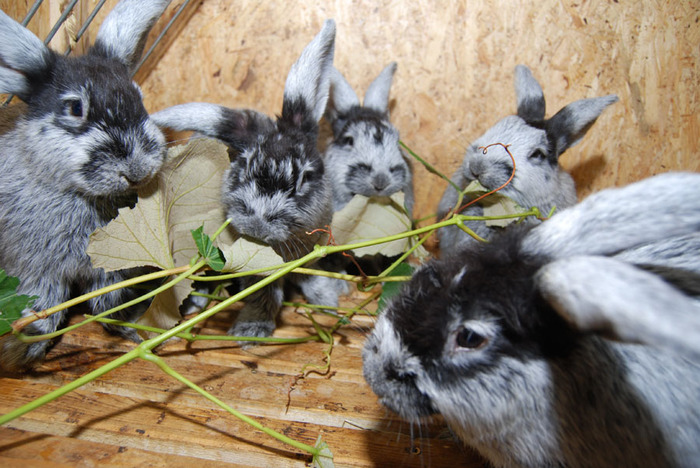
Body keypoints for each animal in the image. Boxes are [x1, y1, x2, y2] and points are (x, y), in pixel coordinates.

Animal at [0, 1, 171, 372]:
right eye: (75, 107)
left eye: (139, 97)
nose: (137, 169)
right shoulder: (35, 271)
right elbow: (43, 312)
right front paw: (22, 352)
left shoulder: (109, 272)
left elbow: (109, 306)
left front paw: (134, 333)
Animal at [152, 20, 342, 340]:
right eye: (243, 167)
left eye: (303, 179)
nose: (257, 224)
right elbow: (264, 295)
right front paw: (250, 330)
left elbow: (312, 277)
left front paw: (330, 299)